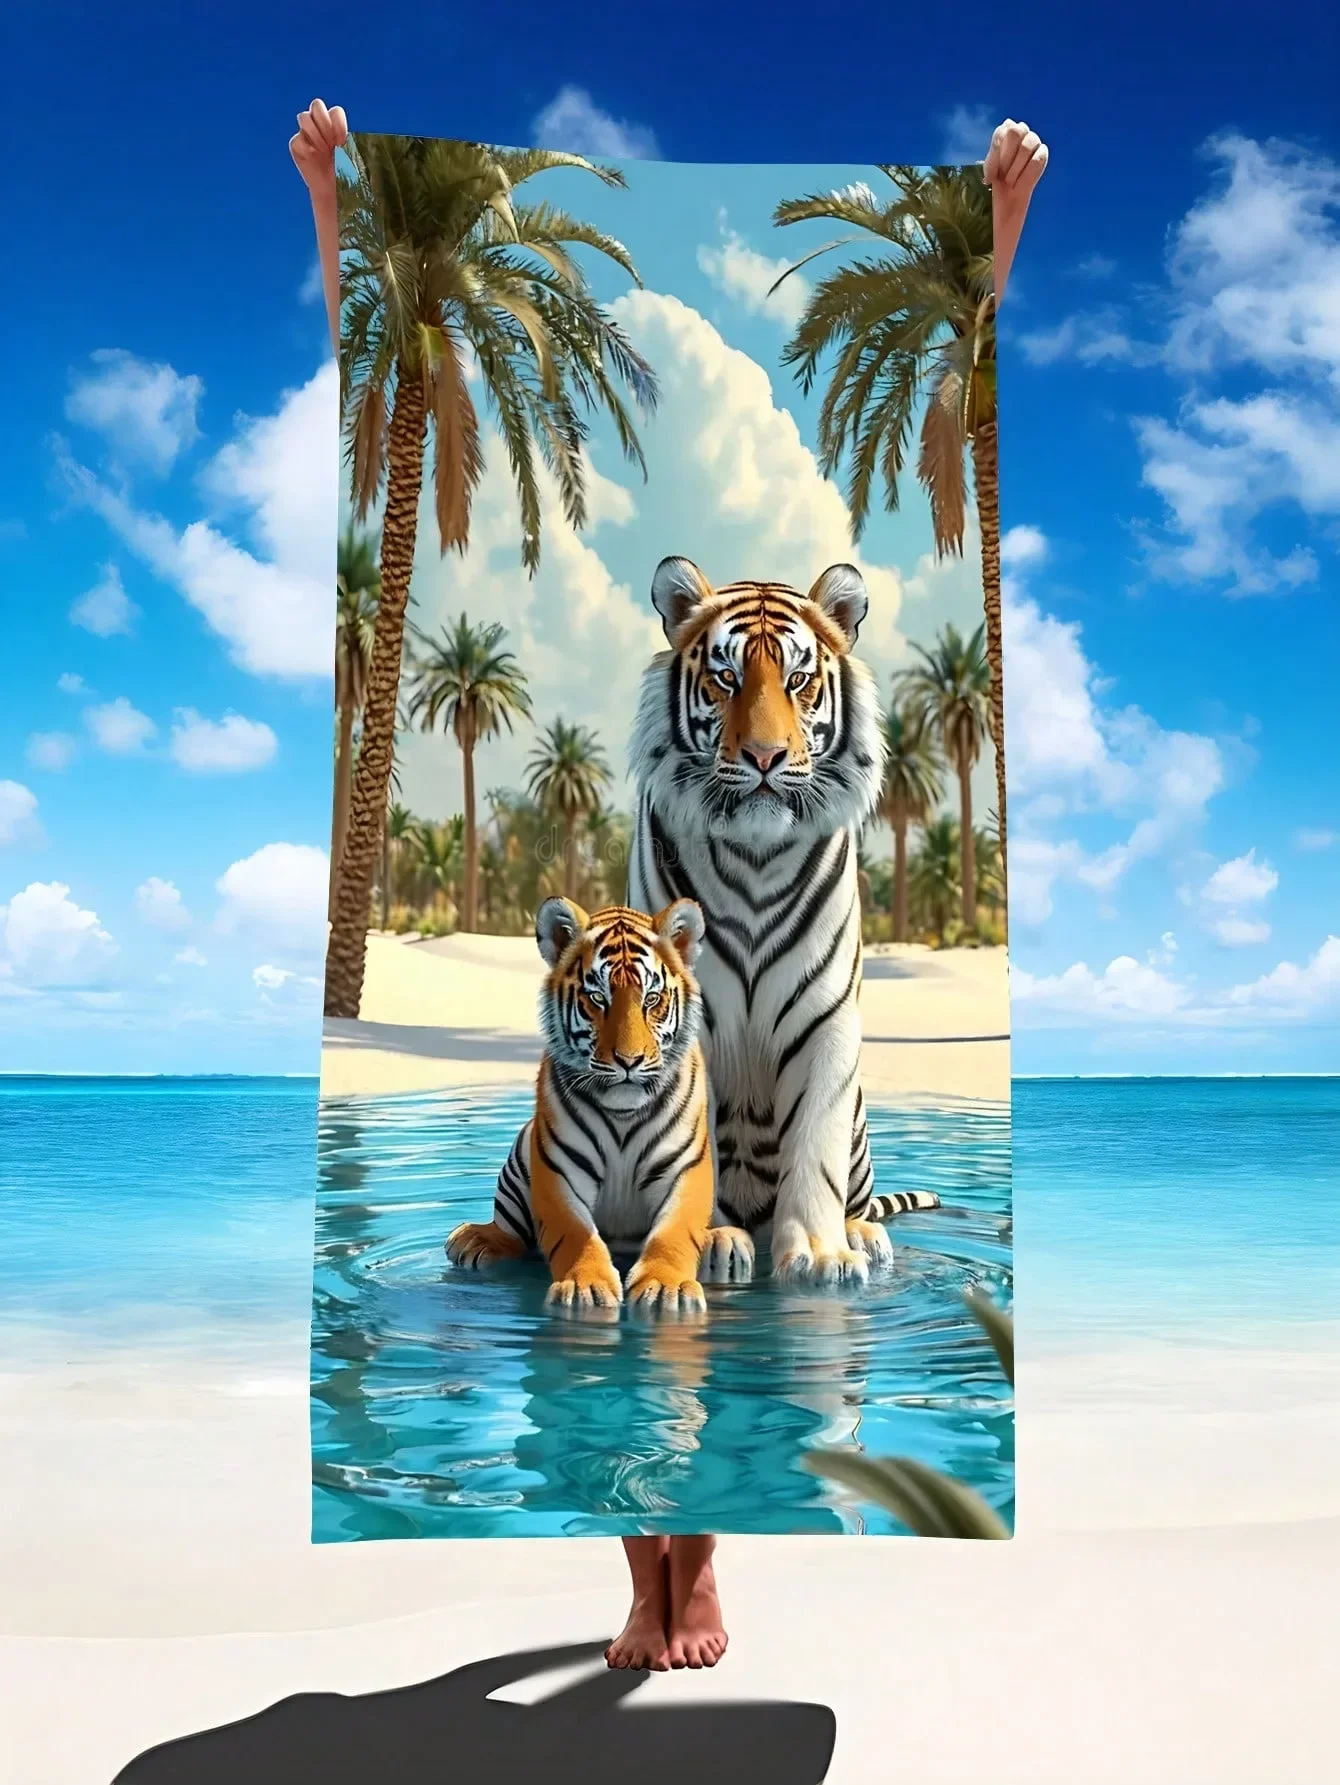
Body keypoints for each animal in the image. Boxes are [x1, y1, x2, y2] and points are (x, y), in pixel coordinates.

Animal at [446, 896, 747, 1312]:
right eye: (597, 999)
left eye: (652, 999)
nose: (629, 1061)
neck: (623, 1113)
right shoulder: (559, 1169)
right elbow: (574, 1233)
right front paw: (584, 1287)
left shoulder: (683, 1168)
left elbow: (674, 1232)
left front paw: (664, 1287)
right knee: (510, 1228)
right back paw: (475, 1239)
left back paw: (726, 1241)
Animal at [627, 556, 939, 1288]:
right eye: (726, 677)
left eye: (798, 679)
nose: (766, 757)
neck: (754, 854)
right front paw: (712, 1242)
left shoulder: (825, 1017)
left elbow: (815, 1147)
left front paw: (824, 1255)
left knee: (856, 1189)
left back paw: (863, 1234)